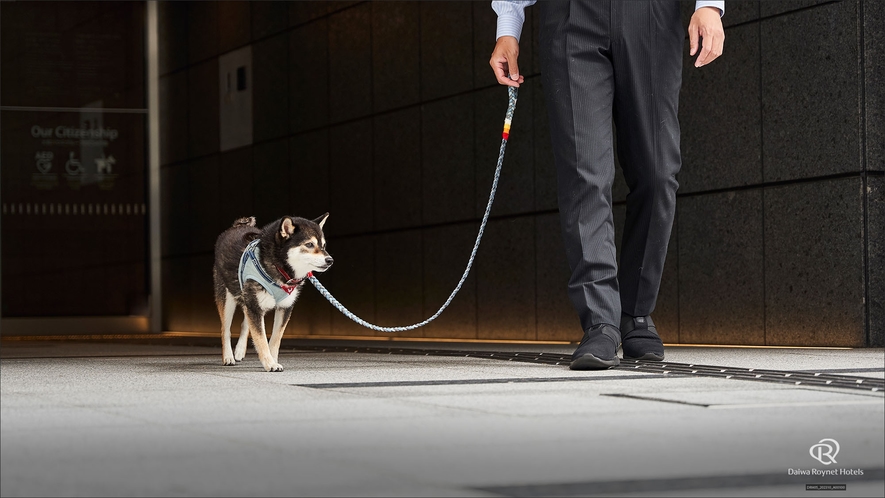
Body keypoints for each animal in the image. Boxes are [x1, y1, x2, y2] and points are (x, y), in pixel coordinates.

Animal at [212, 212, 334, 372]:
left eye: (323, 245)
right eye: (309, 245)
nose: (330, 260)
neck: (278, 268)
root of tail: (236, 227)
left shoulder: (284, 307)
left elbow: (275, 338)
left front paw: (273, 360)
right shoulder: (255, 307)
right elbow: (261, 338)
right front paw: (270, 364)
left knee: (245, 323)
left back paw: (239, 351)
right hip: (227, 297)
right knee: (225, 329)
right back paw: (228, 357)